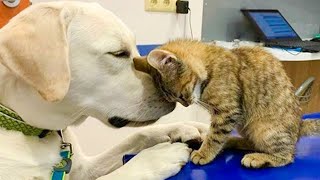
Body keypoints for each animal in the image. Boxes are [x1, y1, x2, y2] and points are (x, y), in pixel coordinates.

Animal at [0, 1, 208, 180]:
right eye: (118, 53)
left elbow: (138, 136)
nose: (174, 97)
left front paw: (186, 127)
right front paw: (155, 158)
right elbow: (116, 175)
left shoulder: (84, 169)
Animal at [132, 38, 320, 168]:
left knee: (287, 156)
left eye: (180, 95)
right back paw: (234, 142)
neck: (210, 66)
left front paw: (204, 153)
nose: (186, 105)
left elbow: (215, 136)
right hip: (246, 126)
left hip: (266, 129)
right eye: (175, 99)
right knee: (254, 143)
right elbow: (215, 135)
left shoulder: (228, 112)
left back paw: (258, 157)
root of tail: (299, 125)